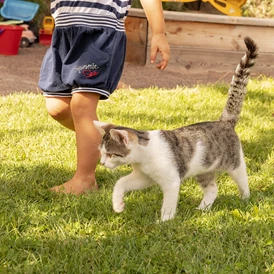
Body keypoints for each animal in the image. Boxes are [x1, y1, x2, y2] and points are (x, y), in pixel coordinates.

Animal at [94, 36, 260, 222]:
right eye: (101, 153)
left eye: (110, 154)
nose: (102, 163)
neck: (144, 156)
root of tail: (225, 121)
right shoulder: (143, 178)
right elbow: (120, 183)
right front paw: (118, 205)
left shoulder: (171, 180)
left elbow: (168, 204)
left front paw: (164, 221)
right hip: (204, 170)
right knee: (212, 189)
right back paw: (203, 209)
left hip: (233, 163)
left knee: (242, 178)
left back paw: (245, 198)